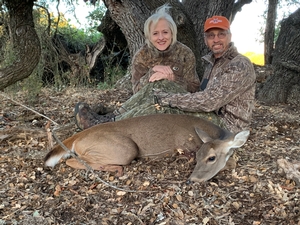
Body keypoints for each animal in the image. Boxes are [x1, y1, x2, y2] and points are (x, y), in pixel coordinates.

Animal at [44, 114, 250, 183]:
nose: (192, 180)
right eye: (198, 156)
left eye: (211, 157)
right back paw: (114, 168)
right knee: (72, 159)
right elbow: (232, 162)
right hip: (125, 149)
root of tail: (78, 137)